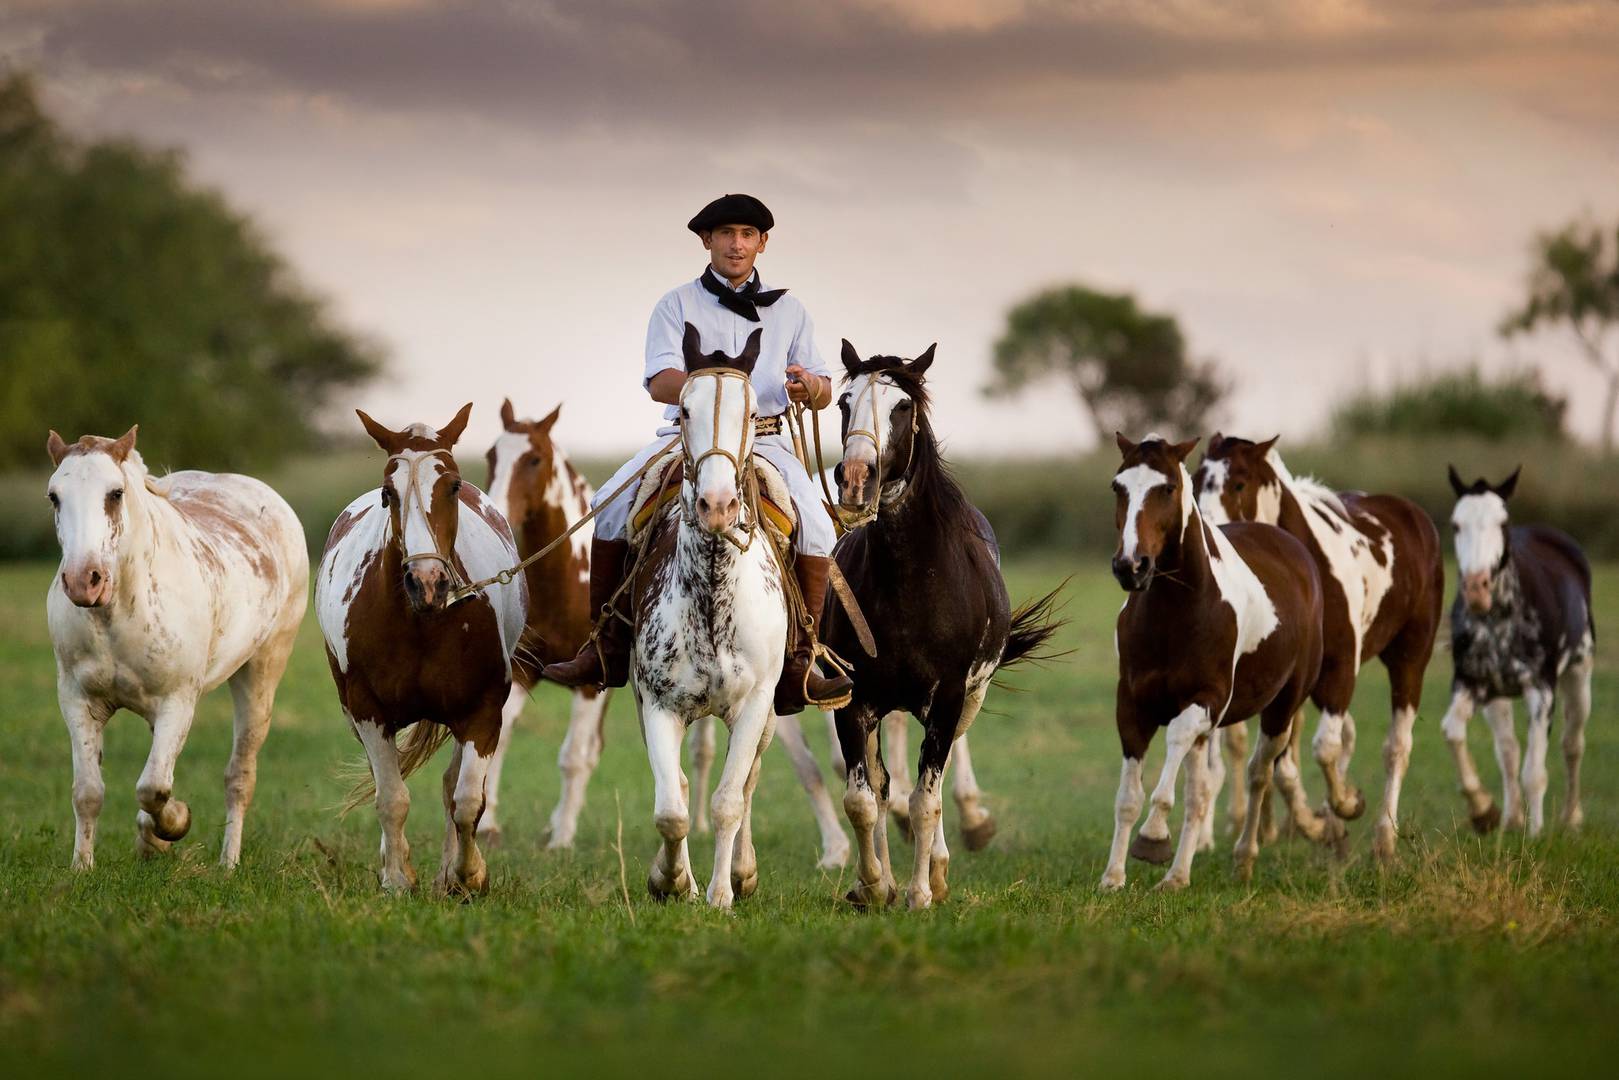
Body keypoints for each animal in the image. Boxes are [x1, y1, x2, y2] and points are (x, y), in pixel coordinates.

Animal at [44, 427, 305, 874]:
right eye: (54, 496)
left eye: (115, 493)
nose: (83, 581)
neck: (117, 616)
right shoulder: (77, 699)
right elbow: (89, 791)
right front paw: (83, 867)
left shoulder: (177, 701)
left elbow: (152, 787)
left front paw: (175, 823)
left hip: (262, 671)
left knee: (239, 777)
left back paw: (227, 863)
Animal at [310, 404, 524, 893]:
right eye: (388, 493)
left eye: (454, 486)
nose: (427, 582)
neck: (422, 622)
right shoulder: (367, 710)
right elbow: (392, 797)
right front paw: (396, 878)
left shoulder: (483, 712)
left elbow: (466, 800)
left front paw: (466, 875)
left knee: (451, 788)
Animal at [822, 340, 1062, 913]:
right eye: (843, 403)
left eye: (902, 407)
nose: (856, 480)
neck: (909, 583)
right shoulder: (854, 700)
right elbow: (863, 798)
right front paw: (873, 886)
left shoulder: (950, 697)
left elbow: (926, 800)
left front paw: (920, 893)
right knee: (883, 785)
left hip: (965, 702)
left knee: (935, 779)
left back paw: (937, 867)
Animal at [1107, 433, 1321, 893]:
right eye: (1118, 487)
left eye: (1167, 488)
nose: (1131, 566)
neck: (1176, 612)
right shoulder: (1131, 706)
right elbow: (1131, 797)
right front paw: (1113, 877)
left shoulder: (1207, 701)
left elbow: (1174, 764)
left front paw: (1153, 839)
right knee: (1201, 791)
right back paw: (1178, 876)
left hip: (1282, 708)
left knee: (1259, 773)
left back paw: (1243, 858)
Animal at [1444, 466, 1593, 835]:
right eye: (1456, 524)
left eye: (1502, 523)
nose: (1476, 588)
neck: (1498, 619)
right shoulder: (1471, 684)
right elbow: (1453, 732)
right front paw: (1484, 811)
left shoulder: (1541, 690)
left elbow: (1535, 772)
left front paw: (1536, 834)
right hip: (1496, 697)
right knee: (1508, 751)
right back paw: (1511, 819)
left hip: (1579, 673)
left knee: (1573, 743)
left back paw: (1571, 817)